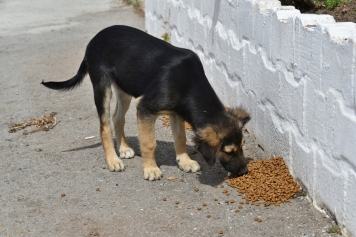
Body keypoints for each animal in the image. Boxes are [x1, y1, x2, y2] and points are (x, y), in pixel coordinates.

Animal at [42, 25, 250, 180]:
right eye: (229, 151)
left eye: (242, 146)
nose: (244, 171)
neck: (190, 84)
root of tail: (96, 37)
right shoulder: (145, 108)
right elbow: (150, 143)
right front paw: (150, 169)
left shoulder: (176, 112)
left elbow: (180, 138)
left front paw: (184, 162)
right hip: (102, 86)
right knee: (105, 126)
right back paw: (113, 160)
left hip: (125, 89)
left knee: (117, 118)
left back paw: (124, 149)